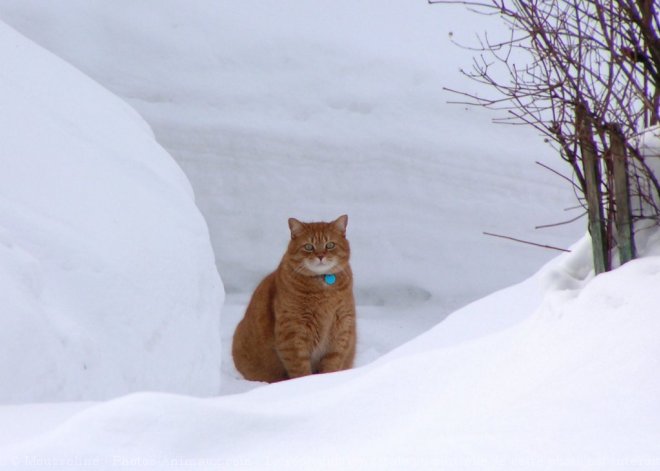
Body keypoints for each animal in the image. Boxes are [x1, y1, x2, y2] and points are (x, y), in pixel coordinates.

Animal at [232, 216, 356, 382]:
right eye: (309, 247)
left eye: (330, 245)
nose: (320, 256)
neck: (323, 287)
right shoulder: (292, 334)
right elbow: (300, 369)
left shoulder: (341, 330)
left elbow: (331, 365)